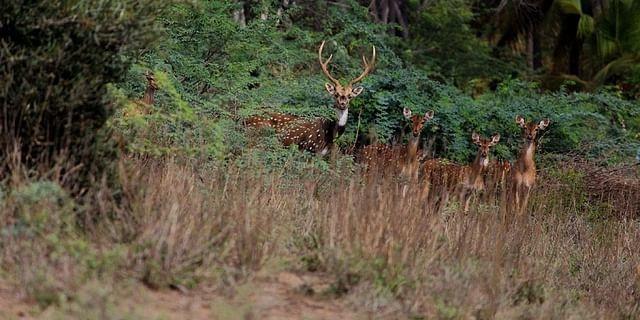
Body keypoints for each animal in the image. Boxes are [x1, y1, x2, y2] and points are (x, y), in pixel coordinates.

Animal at [245, 41, 376, 155]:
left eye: (350, 96)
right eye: (336, 94)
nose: (343, 103)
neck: (330, 136)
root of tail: (244, 118)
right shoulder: (310, 148)